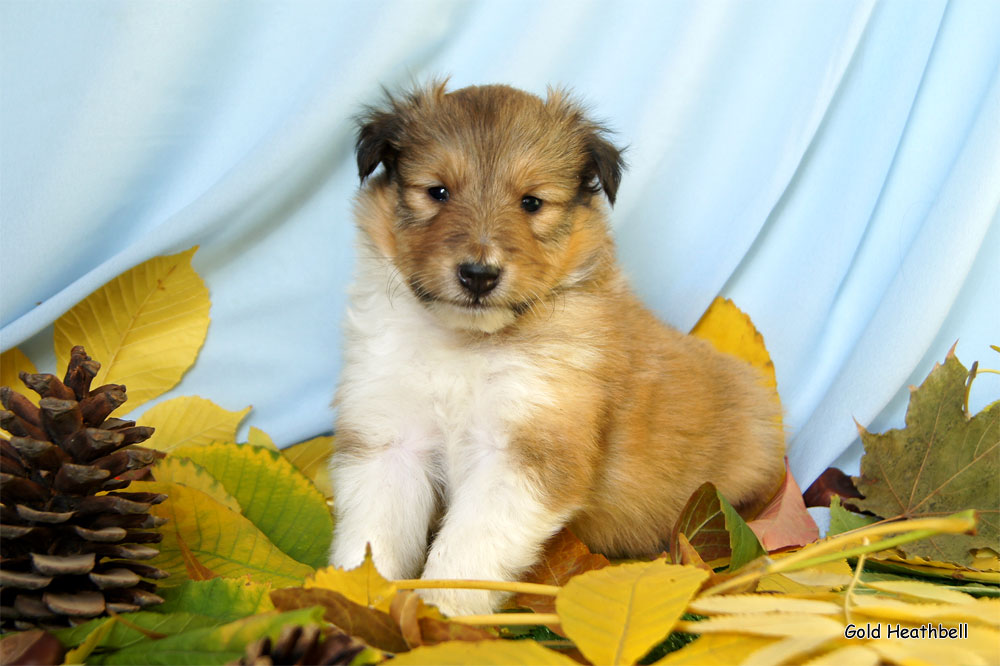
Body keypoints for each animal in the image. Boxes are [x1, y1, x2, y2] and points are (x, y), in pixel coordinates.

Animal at [332, 81, 784, 612]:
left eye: (532, 202)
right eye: (437, 192)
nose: (479, 275)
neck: (467, 344)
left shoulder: (528, 453)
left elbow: (466, 551)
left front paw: (439, 614)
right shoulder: (390, 440)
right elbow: (371, 540)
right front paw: (351, 603)